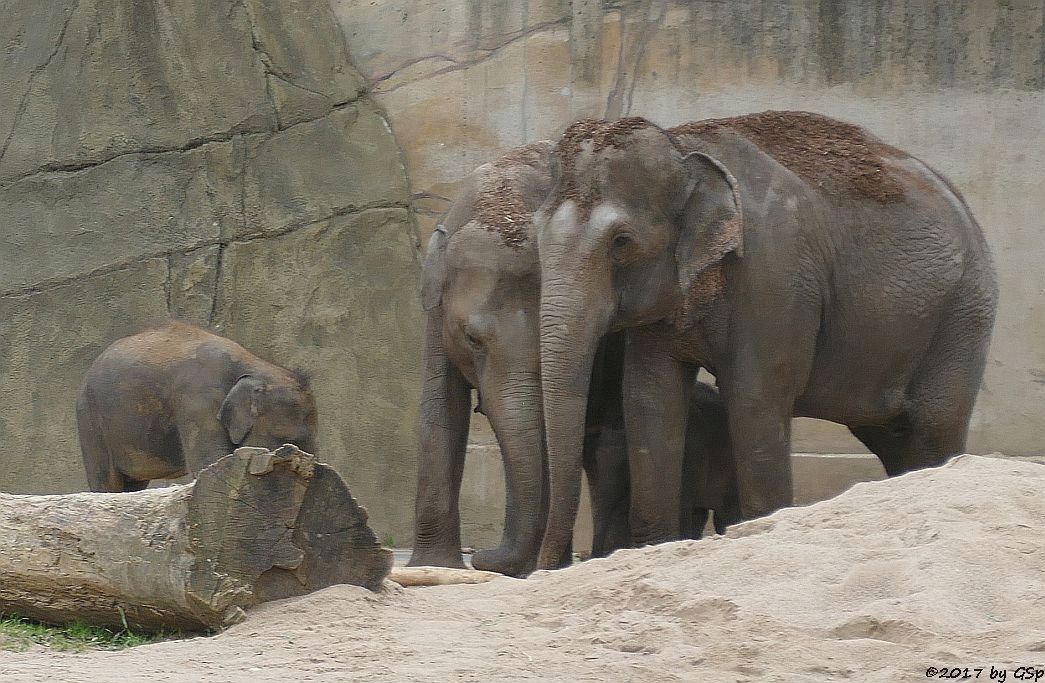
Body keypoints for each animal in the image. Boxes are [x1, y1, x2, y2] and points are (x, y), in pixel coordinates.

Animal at [76, 321, 315, 492]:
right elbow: (209, 462)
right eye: (289, 440)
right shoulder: (197, 400)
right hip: (90, 418)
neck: (253, 363)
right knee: (106, 481)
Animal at [403, 143, 739, 576]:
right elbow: (441, 409)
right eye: (472, 339)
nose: (479, 556)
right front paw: (435, 567)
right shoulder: (436, 316)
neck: (499, 196)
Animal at [535, 113, 999, 572]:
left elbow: (755, 398)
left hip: (964, 314)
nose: (550, 566)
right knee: (895, 436)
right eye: (536, 234)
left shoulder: (774, 274)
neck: (684, 147)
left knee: (933, 428)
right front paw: (654, 548)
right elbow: (648, 397)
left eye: (621, 241)